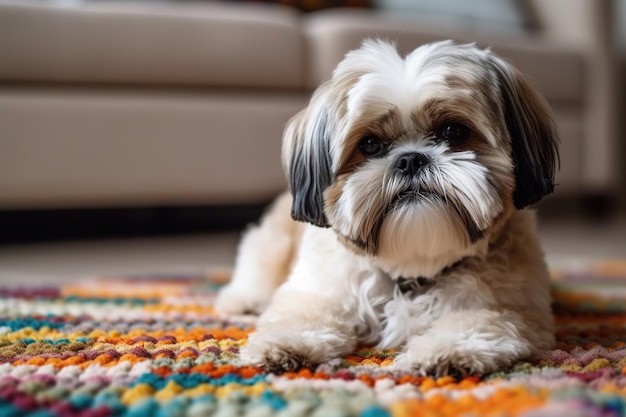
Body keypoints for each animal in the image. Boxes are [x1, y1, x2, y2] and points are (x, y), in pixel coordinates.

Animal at [214, 39, 556, 376]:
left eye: (453, 131)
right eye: (370, 145)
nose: (411, 159)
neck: (412, 268)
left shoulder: (511, 306)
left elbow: (480, 320)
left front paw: (446, 350)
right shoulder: (317, 290)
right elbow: (300, 316)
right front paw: (284, 345)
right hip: (271, 246)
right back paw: (242, 301)